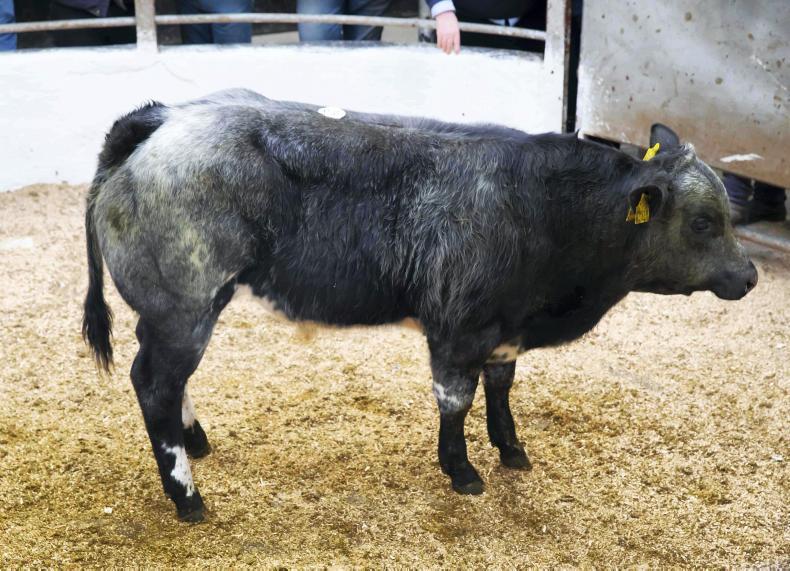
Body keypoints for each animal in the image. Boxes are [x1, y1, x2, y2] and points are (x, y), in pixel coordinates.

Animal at [82, 89, 757, 522]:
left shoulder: (505, 327)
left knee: (166, 381)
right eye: (703, 222)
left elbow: (502, 387)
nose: (749, 276)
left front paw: (511, 449)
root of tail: (162, 118)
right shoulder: (457, 329)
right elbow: (455, 400)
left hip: (176, 311)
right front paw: (461, 470)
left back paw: (194, 441)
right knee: (154, 384)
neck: (545, 207)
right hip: (185, 307)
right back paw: (187, 496)